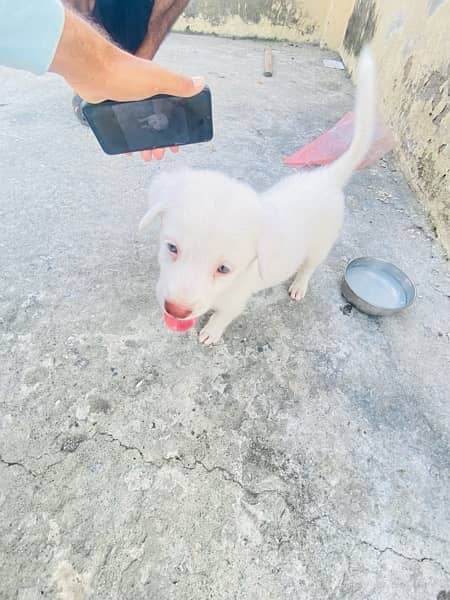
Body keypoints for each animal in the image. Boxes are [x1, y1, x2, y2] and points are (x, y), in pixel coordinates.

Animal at [140, 49, 376, 344]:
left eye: (224, 269)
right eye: (172, 248)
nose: (176, 310)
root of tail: (326, 177)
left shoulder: (235, 301)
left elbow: (222, 316)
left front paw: (211, 332)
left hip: (321, 245)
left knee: (309, 267)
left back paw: (299, 285)